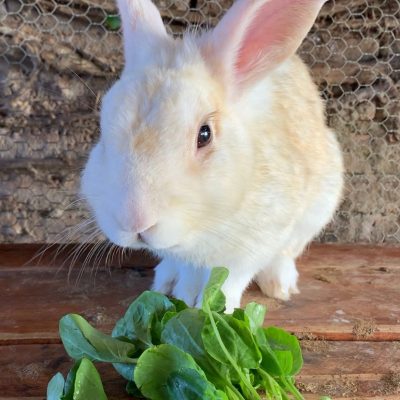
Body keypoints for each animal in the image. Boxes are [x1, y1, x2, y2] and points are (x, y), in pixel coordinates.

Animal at [81, 0, 344, 312]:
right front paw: (184, 298)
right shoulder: (185, 254)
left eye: (204, 135)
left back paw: (280, 287)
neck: (205, 227)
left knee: (286, 254)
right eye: (103, 130)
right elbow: (188, 273)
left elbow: (232, 278)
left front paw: (220, 308)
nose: (135, 222)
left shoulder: (256, 243)